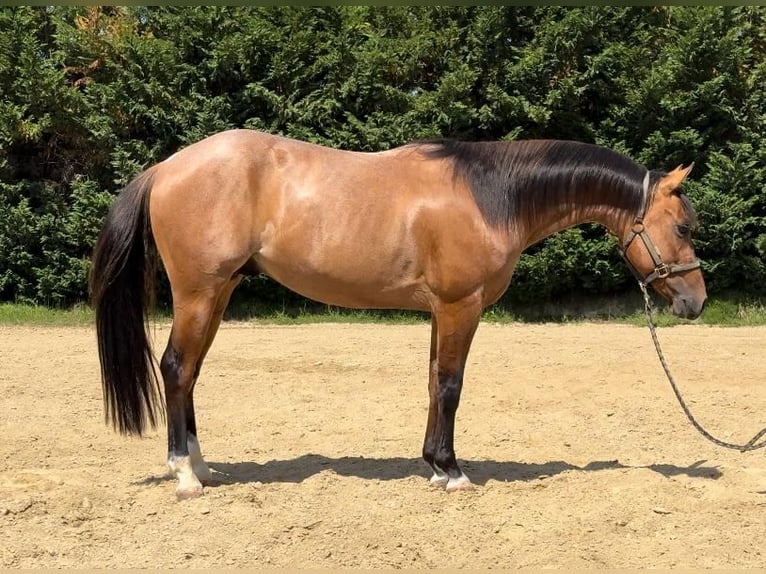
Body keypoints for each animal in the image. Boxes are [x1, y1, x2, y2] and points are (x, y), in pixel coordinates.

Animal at [90, 129, 706, 499]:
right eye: (682, 226)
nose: (694, 301)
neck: (490, 198)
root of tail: (165, 167)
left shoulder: (440, 311)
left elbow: (434, 382)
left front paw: (433, 463)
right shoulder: (461, 307)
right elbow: (452, 385)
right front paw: (453, 472)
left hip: (217, 295)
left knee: (190, 373)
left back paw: (203, 466)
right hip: (199, 292)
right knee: (175, 368)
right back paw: (184, 475)